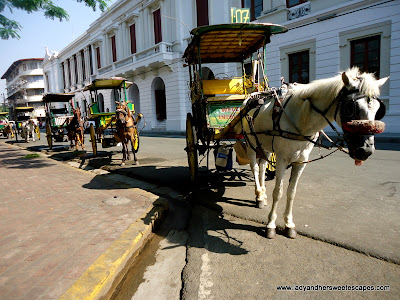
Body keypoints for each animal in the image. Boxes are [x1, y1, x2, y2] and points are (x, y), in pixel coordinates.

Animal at [241, 68, 388, 239]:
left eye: (378, 110)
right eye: (350, 108)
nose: (366, 150)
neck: (298, 119)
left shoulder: (300, 162)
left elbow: (291, 192)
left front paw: (289, 223)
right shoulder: (282, 160)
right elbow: (278, 192)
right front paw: (271, 224)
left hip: (264, 145)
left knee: (263, 165)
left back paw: (262, 195)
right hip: (250, 143)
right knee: (255, 167)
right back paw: (258, 194)